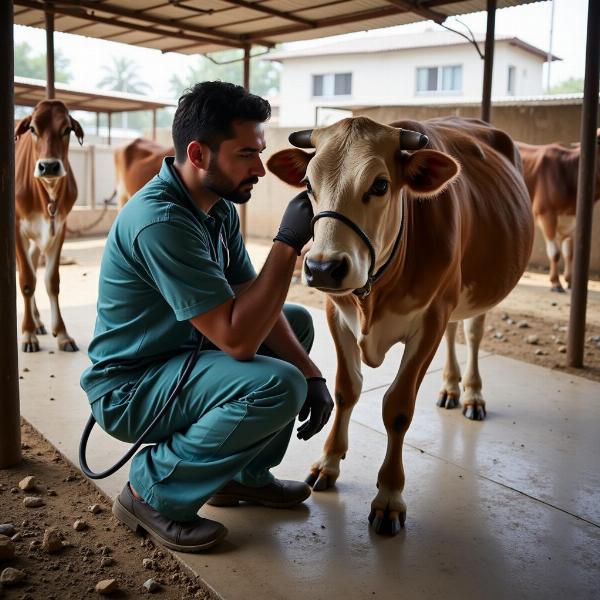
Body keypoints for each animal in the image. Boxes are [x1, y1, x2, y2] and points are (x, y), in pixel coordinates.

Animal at [14, 98, 84, 352]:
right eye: (33, 129)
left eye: (67, 129)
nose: (49, 166)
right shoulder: (17, 228)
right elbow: (26, 281)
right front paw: (27, 334)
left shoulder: (59, 227)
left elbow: (51, 281)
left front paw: (62, 334)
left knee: (35, 265)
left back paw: (38, 322)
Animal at [268, 116, 536, 536]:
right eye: (308, 184)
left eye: (380, 185)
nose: (323, 267)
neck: (373, 295)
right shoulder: (336, 312)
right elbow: (346, 390)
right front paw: (328, 463)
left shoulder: (430, 318)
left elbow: (397, 408)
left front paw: (389, 497)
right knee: (455, 333)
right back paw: (450, 388)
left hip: (476, 291)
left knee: (472, 332)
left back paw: (472, 394)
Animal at [516, 135, 600, 294]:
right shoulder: (546, 213)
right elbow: (555, 253)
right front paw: (556, 282)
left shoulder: (572, 217)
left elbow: (569, 252)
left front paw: (570, 281)